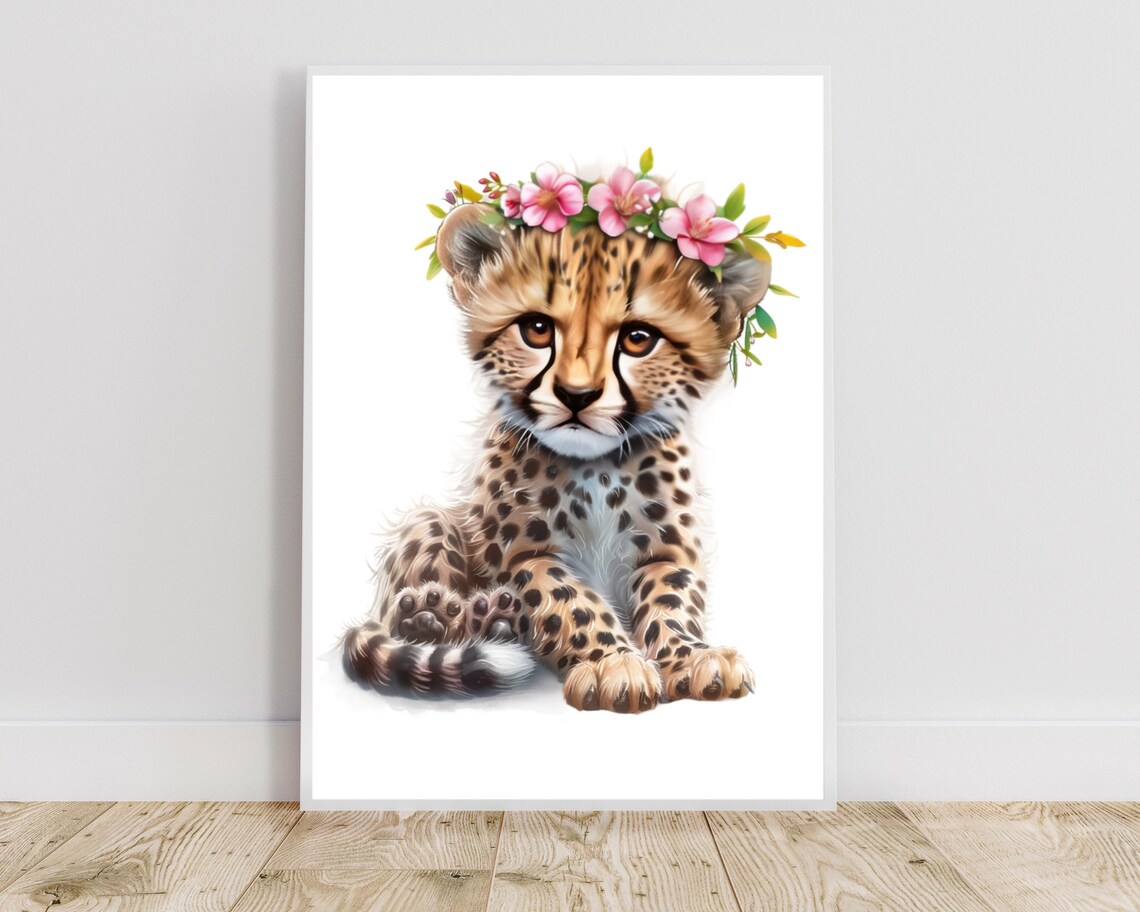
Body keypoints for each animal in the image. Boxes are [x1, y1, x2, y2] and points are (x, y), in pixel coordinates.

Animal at [342, 200, 771, 713]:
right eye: (537, 329)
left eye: (638, 339)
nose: (576, 395)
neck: (599, 468)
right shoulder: (523, 554)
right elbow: (569, 600)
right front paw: (614, 664)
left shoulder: (669, 552)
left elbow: (673, 600)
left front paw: (692, 655)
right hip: (431, 522)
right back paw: (445, 615)